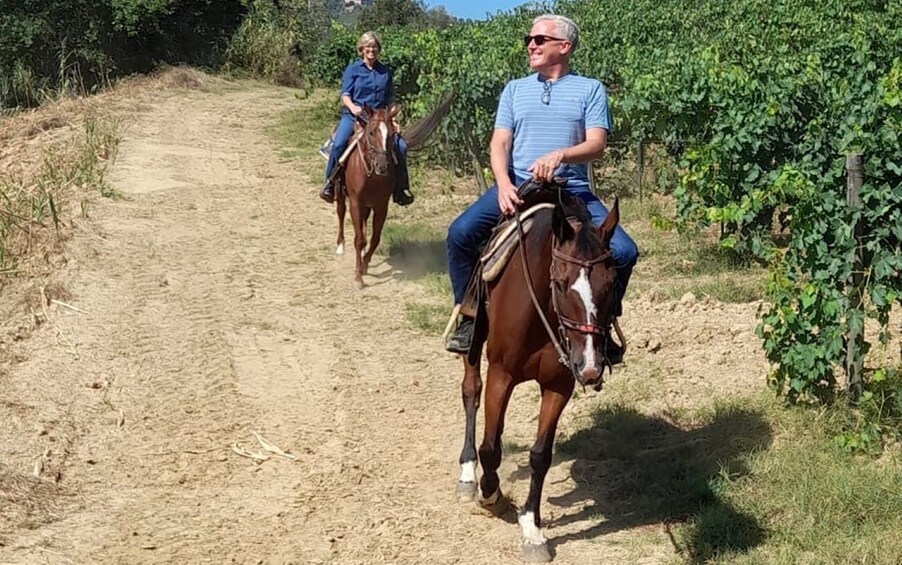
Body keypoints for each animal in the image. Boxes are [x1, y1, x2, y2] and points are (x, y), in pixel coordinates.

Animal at [460, 184, 620, 560]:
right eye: (560, 283)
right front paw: (491, 496)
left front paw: (532, 528)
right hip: (474, 344)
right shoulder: (501, 375)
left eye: (611, 283)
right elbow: (491, 447)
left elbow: (540, 455)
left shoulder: (558, 384)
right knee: (471, 391)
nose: (590, 367)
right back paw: (467, 474)